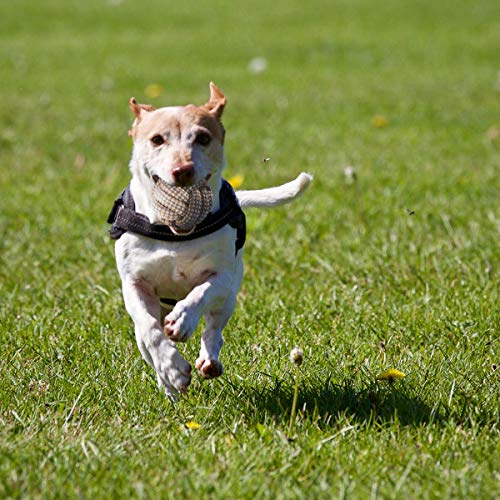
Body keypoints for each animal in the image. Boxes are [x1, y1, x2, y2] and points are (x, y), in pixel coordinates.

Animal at [108, 82, 312, 396]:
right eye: (157, 139)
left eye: (203, 138)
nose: (182, 170)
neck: (174, 235)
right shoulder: (134, 284)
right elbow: (151, 331)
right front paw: (172, 369)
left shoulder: (223, 277)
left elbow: (200, 294)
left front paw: (182, 320)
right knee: (147, 340)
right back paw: (168, 386)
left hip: (229, 297)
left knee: (214, 328)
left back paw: (208, 360)